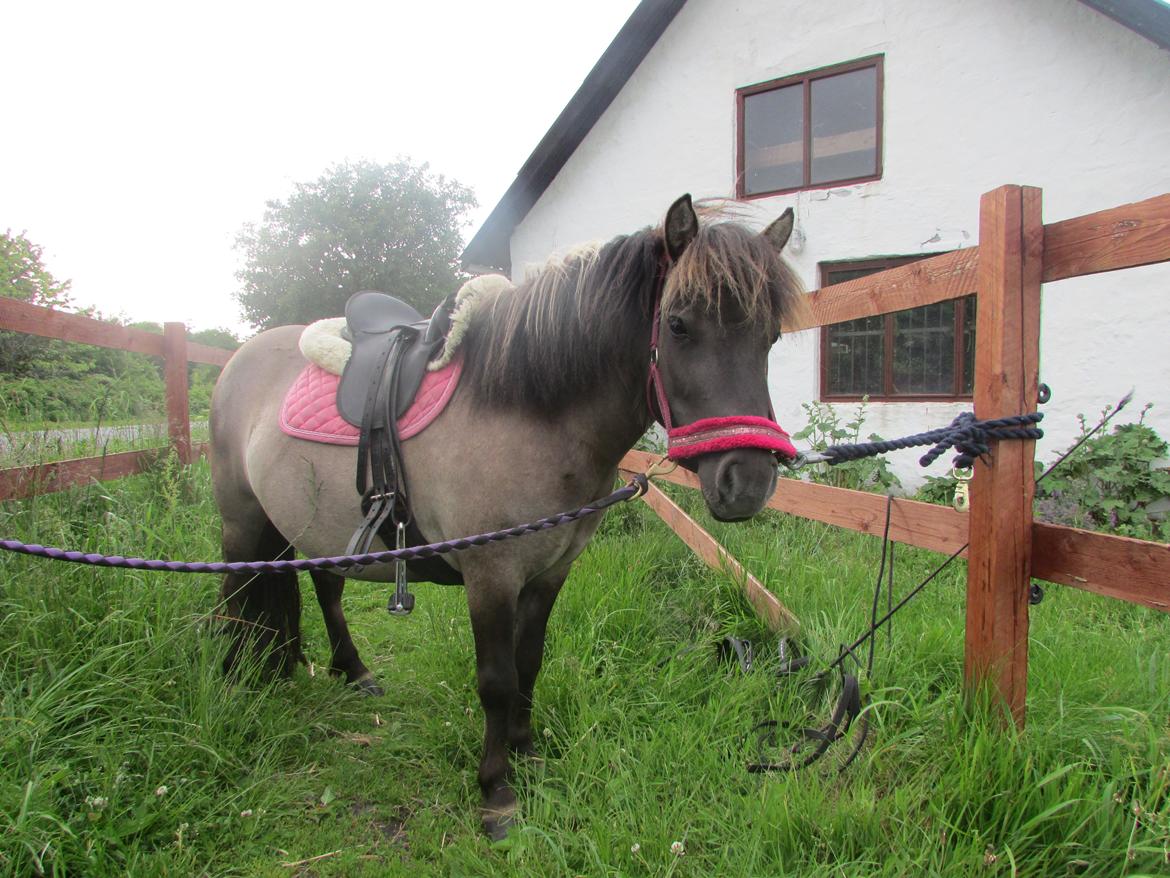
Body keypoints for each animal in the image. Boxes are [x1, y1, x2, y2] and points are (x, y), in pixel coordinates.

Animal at [210, 194, 800, 838]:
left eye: (771, 336)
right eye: (678, 324)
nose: (748, 482)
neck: (529, 412)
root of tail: (240, 358)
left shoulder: (548, 574)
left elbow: (529, 663)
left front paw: (527, 754)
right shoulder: (490, 577)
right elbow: (496, 680)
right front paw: (497, 792)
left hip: (311, 528)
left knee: (323, 589)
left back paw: (352, 671)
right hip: (242, 523)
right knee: (235, 595)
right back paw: (233, 679)